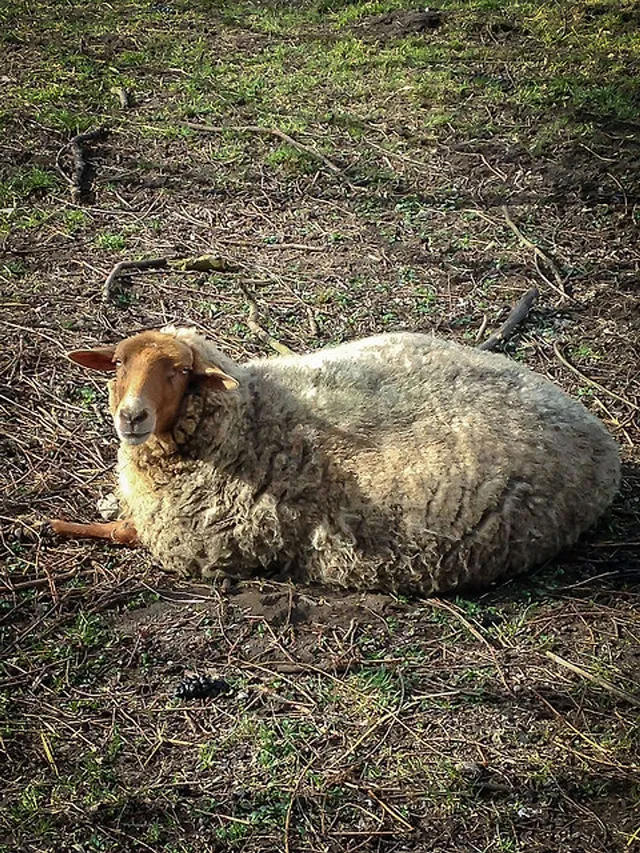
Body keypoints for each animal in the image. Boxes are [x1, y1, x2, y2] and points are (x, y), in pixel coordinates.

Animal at [51, 326, 621, 595]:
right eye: (118, 364)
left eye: (180, 372)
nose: (132, 416)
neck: (247, 419)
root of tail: (600, 438)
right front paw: (103, 503)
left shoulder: (198, 546)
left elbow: (120, 533)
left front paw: (55, 524)